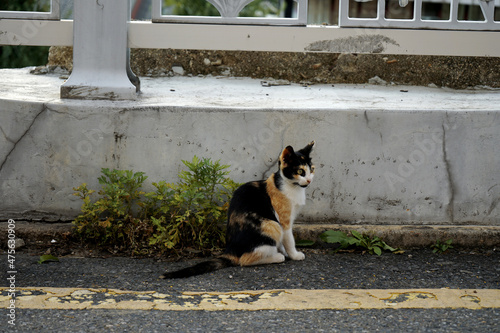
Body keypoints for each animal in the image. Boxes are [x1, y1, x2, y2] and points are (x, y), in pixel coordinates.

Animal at [160, 140, 314, 278]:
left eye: (311, 169)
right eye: (300, 171)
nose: (309, 180)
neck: (290, 186)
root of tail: (230, 249)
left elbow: (283, 241)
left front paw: (284, 251)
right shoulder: (284, 220)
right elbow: (289, 239)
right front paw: (294, 255)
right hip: (271, 225)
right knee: (244, 260)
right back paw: (276, 257)